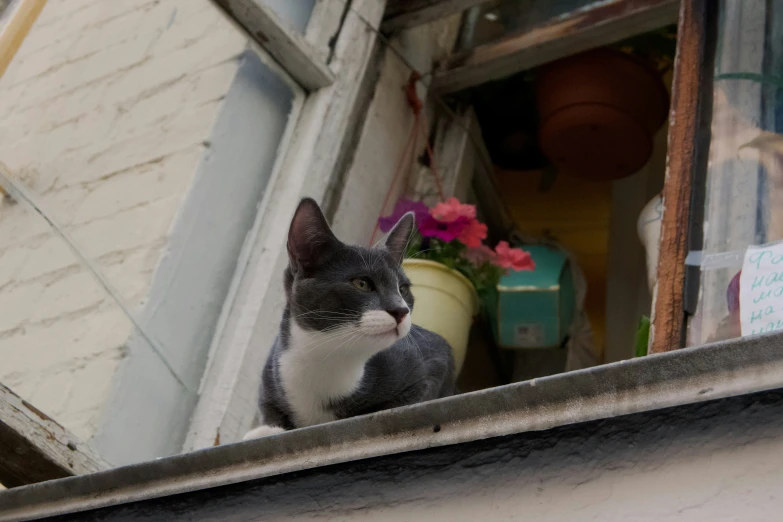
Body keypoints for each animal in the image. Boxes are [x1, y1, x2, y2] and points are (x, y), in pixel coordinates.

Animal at [242, 199, 456, 438]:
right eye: (362, 283)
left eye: (403, 289)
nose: (401, 310)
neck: (327, 358)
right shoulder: (272, 369)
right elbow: (268, 406)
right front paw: (266, 429)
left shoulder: (434, 361)